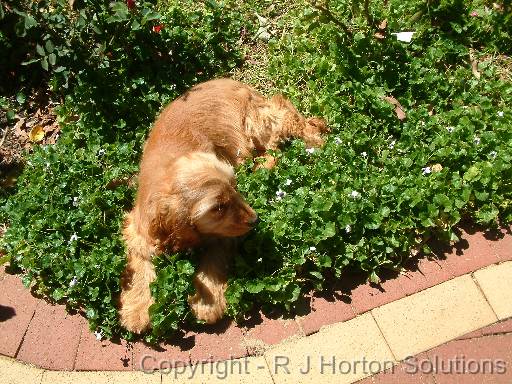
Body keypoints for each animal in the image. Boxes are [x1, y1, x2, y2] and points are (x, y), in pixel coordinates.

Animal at [119, 79, 328, 332]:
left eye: (234, 187)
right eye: (218, 207)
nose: (255, 220)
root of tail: (234, 82)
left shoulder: (226, 234)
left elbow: (213, 258)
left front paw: (205, 301)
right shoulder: (139, 227)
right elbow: (141, 260)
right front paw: (137, 309)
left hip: (257, 121)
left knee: (286, 128)